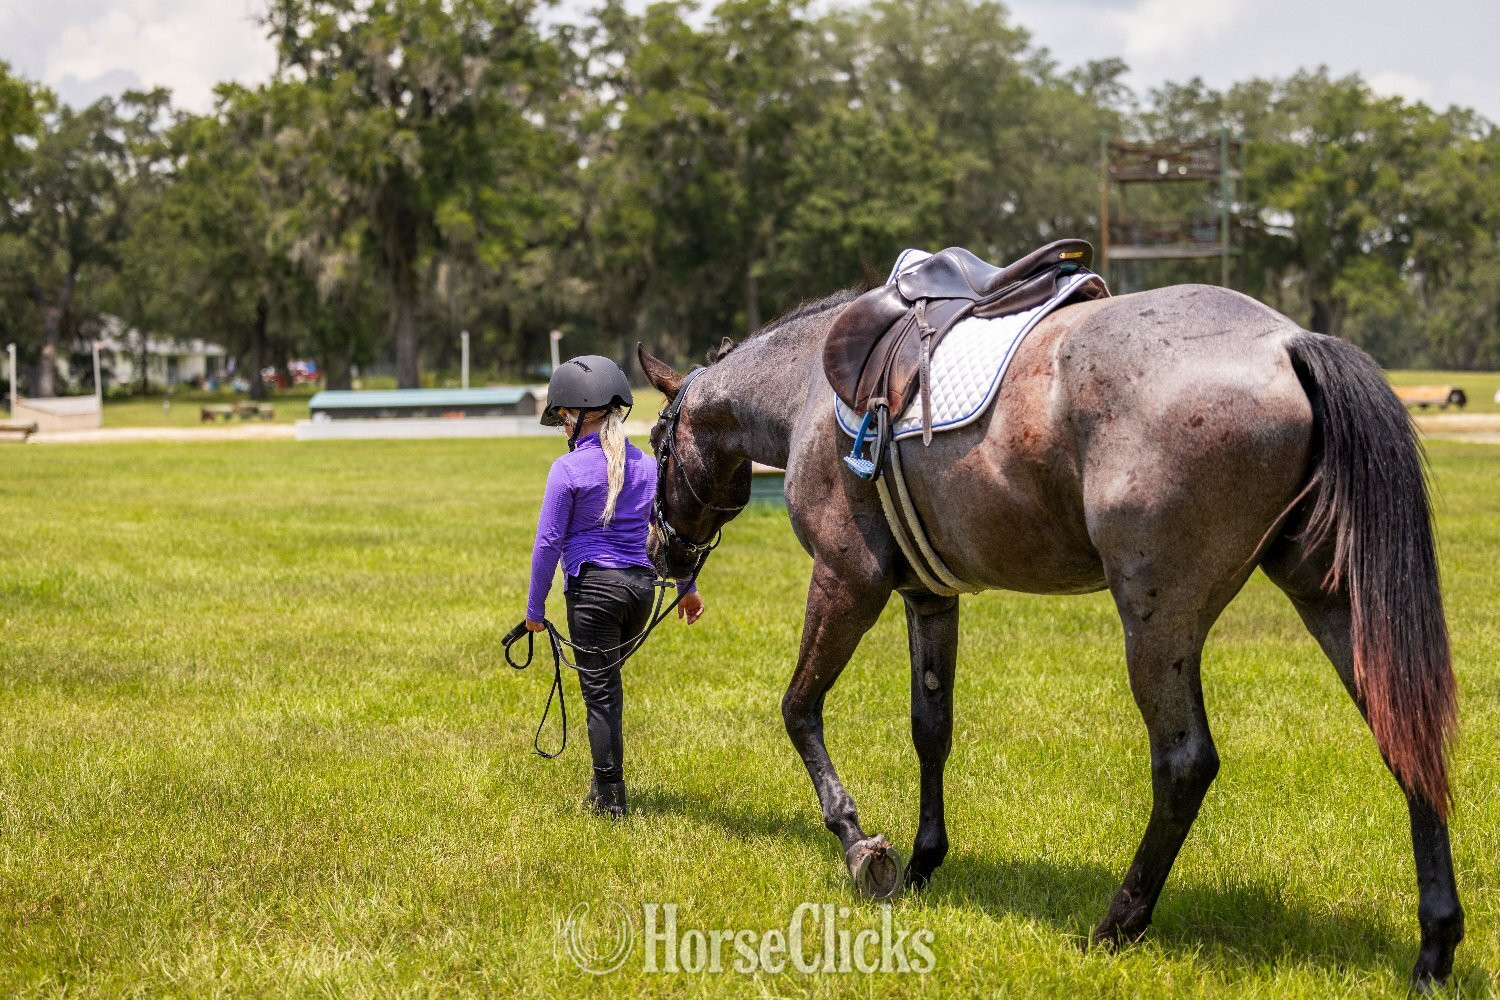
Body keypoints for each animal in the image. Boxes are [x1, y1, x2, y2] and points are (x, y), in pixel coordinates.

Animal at [635, 280, 1462, 989]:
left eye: (654, 442)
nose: (660, 551)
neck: (809, 386)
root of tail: (1288, 342)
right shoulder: (929, 599)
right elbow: (931, 728)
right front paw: (926, 861)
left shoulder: (846, 581)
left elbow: (798, 708)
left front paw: (860, 845)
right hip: (1330, 599)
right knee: (1404, 737)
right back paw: (1435, 946)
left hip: (1158, 621)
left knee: (1185, 763)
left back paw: (1119, 922)